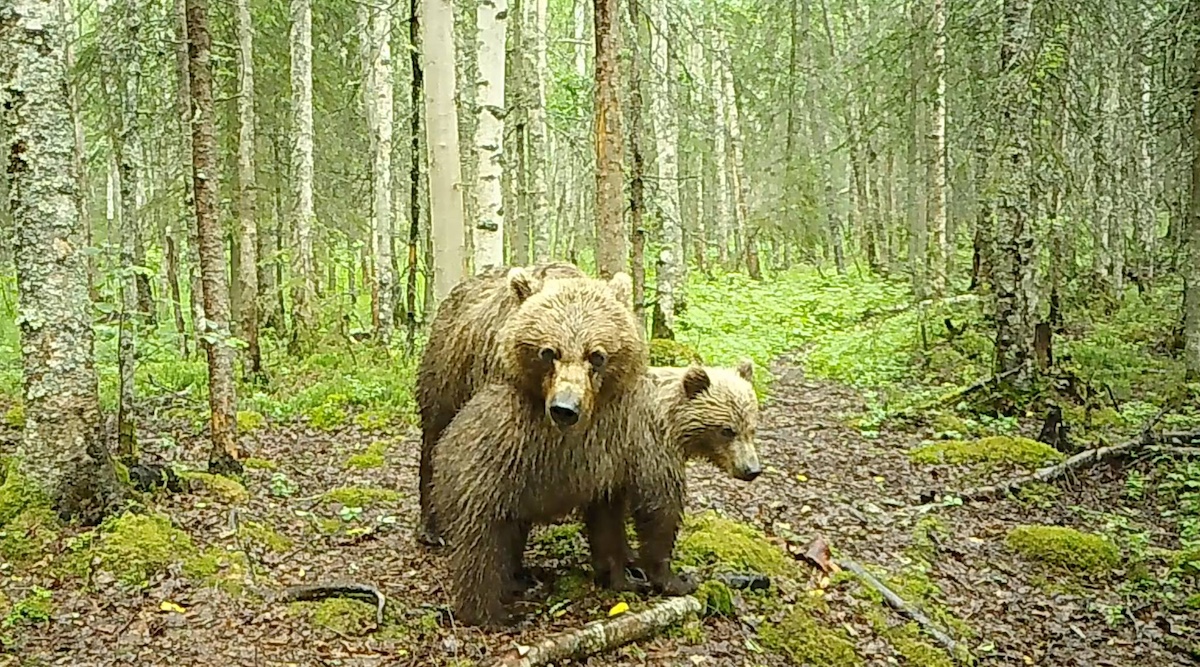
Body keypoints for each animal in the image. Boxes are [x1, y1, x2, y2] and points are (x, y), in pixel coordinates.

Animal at [428, 272, 693, 627]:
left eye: (597, 355)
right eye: (547, 352)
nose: (564, 408)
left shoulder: (611, 428)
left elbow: (609, 500)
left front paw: (623, 564)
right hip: (445, 375)